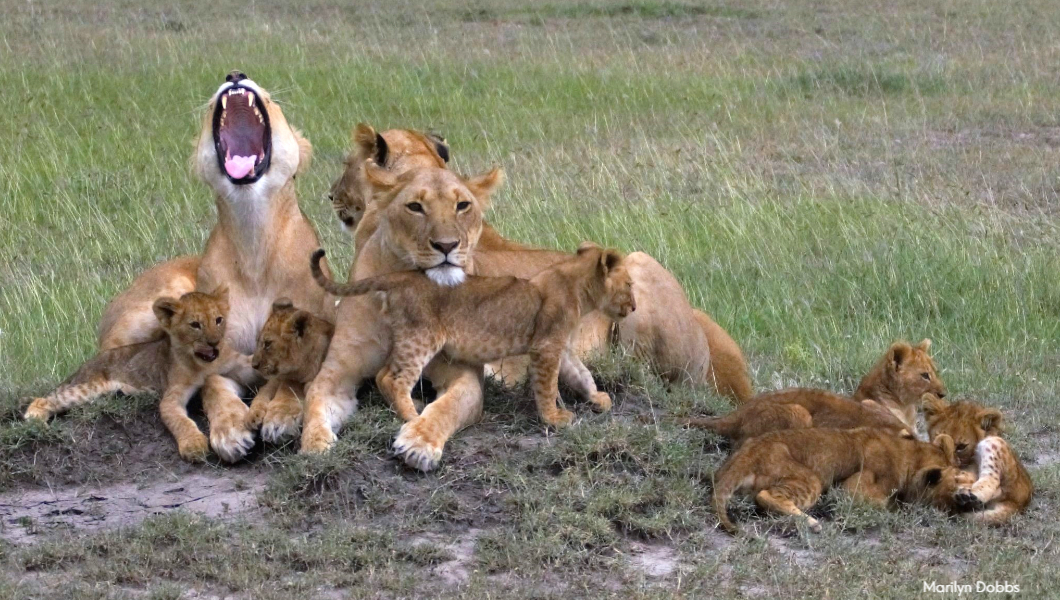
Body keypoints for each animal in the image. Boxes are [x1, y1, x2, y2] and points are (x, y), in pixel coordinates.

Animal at [26, 290, 253, 461]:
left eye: (218, 320)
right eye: (195, 325)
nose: (214, 343)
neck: (203, 363)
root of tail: (85, 364)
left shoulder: (236, 363)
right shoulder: (171, 396)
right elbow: (179, 420)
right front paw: (193, 445)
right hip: (89, 387)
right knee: (44, 399)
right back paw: (36, 420)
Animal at [245, 299, 335, 443]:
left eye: (267, 344)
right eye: (258, 341)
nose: (254, 365)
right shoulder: (276, 379)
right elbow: (263, 392)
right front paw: (253, 415)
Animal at [311, 241, 633, 425]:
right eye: (630, 284)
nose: (634, 306)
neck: (578, 288)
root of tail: (399, 277)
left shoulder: (560, 347)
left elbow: (582, 373)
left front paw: (598, 398)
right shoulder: (546, 347)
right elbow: (547, 387)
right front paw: (554, 419)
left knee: (382, 375)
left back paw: (413, 406)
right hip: (421, 338)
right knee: (392, 377)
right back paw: (412, 416)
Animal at [712, 427, 964, 534]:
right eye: (954, 485)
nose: (961, 506)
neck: (910, 453)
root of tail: (748, 454)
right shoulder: (852, 488)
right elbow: (884, 502)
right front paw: (900, 507)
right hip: (812, 478)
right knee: (766, 496)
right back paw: (812, 523)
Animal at [922, 394, 1032, 525]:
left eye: (961, 446)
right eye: (935, 435)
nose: (953, 464)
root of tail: (1020, 503)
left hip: (993, 442)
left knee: (994, 483)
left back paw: (967, 493)